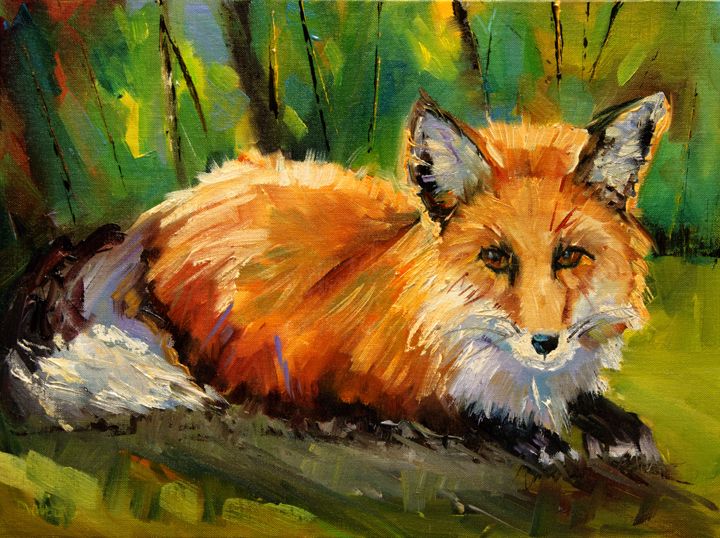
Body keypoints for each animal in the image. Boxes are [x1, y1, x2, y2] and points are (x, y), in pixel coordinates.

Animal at [2, 90, 670, 468]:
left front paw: (614, 427)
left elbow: (587, 402)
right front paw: (530, 436)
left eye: (569, 256)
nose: (544, 343)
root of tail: (163, 212)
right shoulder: (331, 373)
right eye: (496, 257)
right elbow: (453, 413)